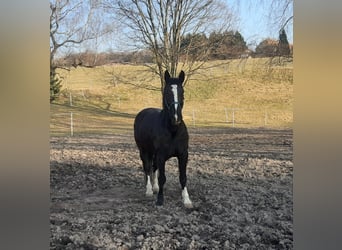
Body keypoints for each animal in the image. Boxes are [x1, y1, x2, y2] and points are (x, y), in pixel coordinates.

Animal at [134, 70, 192, 207]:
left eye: (182, 92)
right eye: (167, 92)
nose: (176, 118)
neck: (173, 130)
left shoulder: (183, 154)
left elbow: (183, 177)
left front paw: (186, 200)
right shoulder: (161, 155)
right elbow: (162, 178)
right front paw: (160, 200)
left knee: (153, 167)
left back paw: (154, 187)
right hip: (144, 151)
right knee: (147, 168)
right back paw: (149, 190)